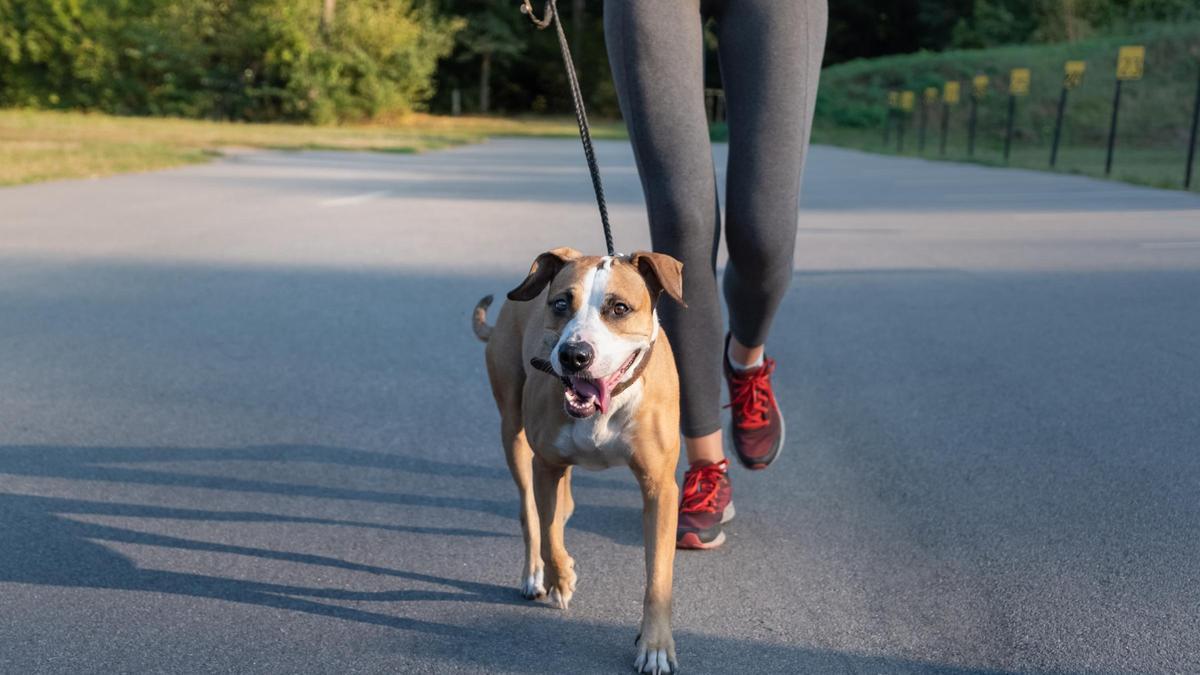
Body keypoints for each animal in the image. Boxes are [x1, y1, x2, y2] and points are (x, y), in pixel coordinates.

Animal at [475, 248, 691, 672]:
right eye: (561, 304)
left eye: (619, 308)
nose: (575, 355)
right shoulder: (545, 466)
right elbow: (549, 536)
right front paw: (560, 579)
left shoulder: (660, 487)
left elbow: (658, 576)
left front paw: (656, 646)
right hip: (514, 433)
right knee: (531, 514)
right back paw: (535, 575)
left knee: (562, 506)